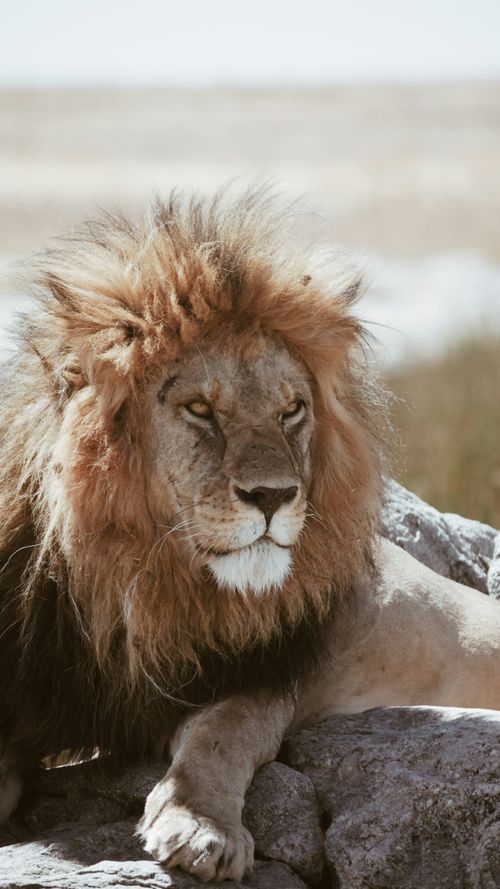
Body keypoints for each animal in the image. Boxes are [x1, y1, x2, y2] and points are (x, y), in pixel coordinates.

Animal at [0, 187, 499, 881]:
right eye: (200, 410)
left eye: (291, 411)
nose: (273, 496)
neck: (137, 587)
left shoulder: (260, 675)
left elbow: (221, 736)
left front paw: (200, 828)